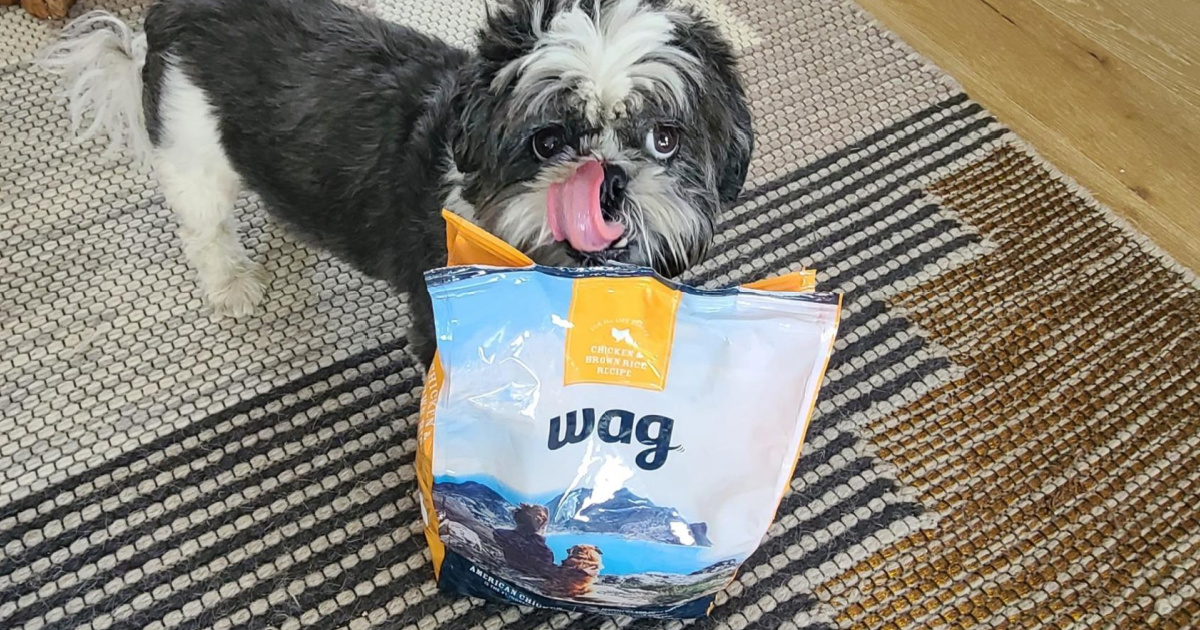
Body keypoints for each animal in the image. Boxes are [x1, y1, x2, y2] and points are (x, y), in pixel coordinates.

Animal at [42, 0, 753, 362]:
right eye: (546, 142)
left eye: (665, 138)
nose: (608, 181)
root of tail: (168, 15)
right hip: (195, 152)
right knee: (205, 228)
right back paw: (232, 284)